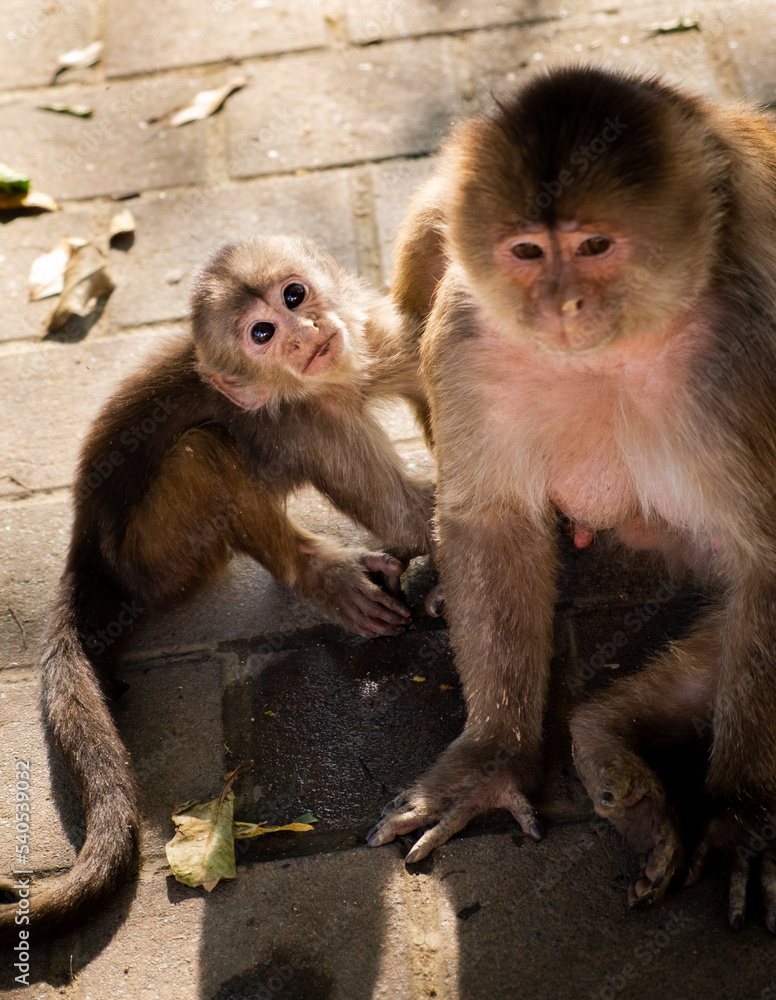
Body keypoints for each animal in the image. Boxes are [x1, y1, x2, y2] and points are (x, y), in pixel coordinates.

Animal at [0, 234, 434, 941]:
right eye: (262, 334)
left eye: (294, 296)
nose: (302, 333)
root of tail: (86, 547)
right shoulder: (307, 421)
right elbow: (407, 515)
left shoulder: (372, 336)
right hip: (156, 559)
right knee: (201, 454)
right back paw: (317, 573)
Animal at [367, 65, 776, 932]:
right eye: (528, 252)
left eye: (594, 247)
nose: (561, 305)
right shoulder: (468, 334)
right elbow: (491, 522)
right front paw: (493, 758)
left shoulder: (740, 358)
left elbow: (772, 560)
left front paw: (743, 813)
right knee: (429, 225)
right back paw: (606, 737)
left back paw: (611, 735)